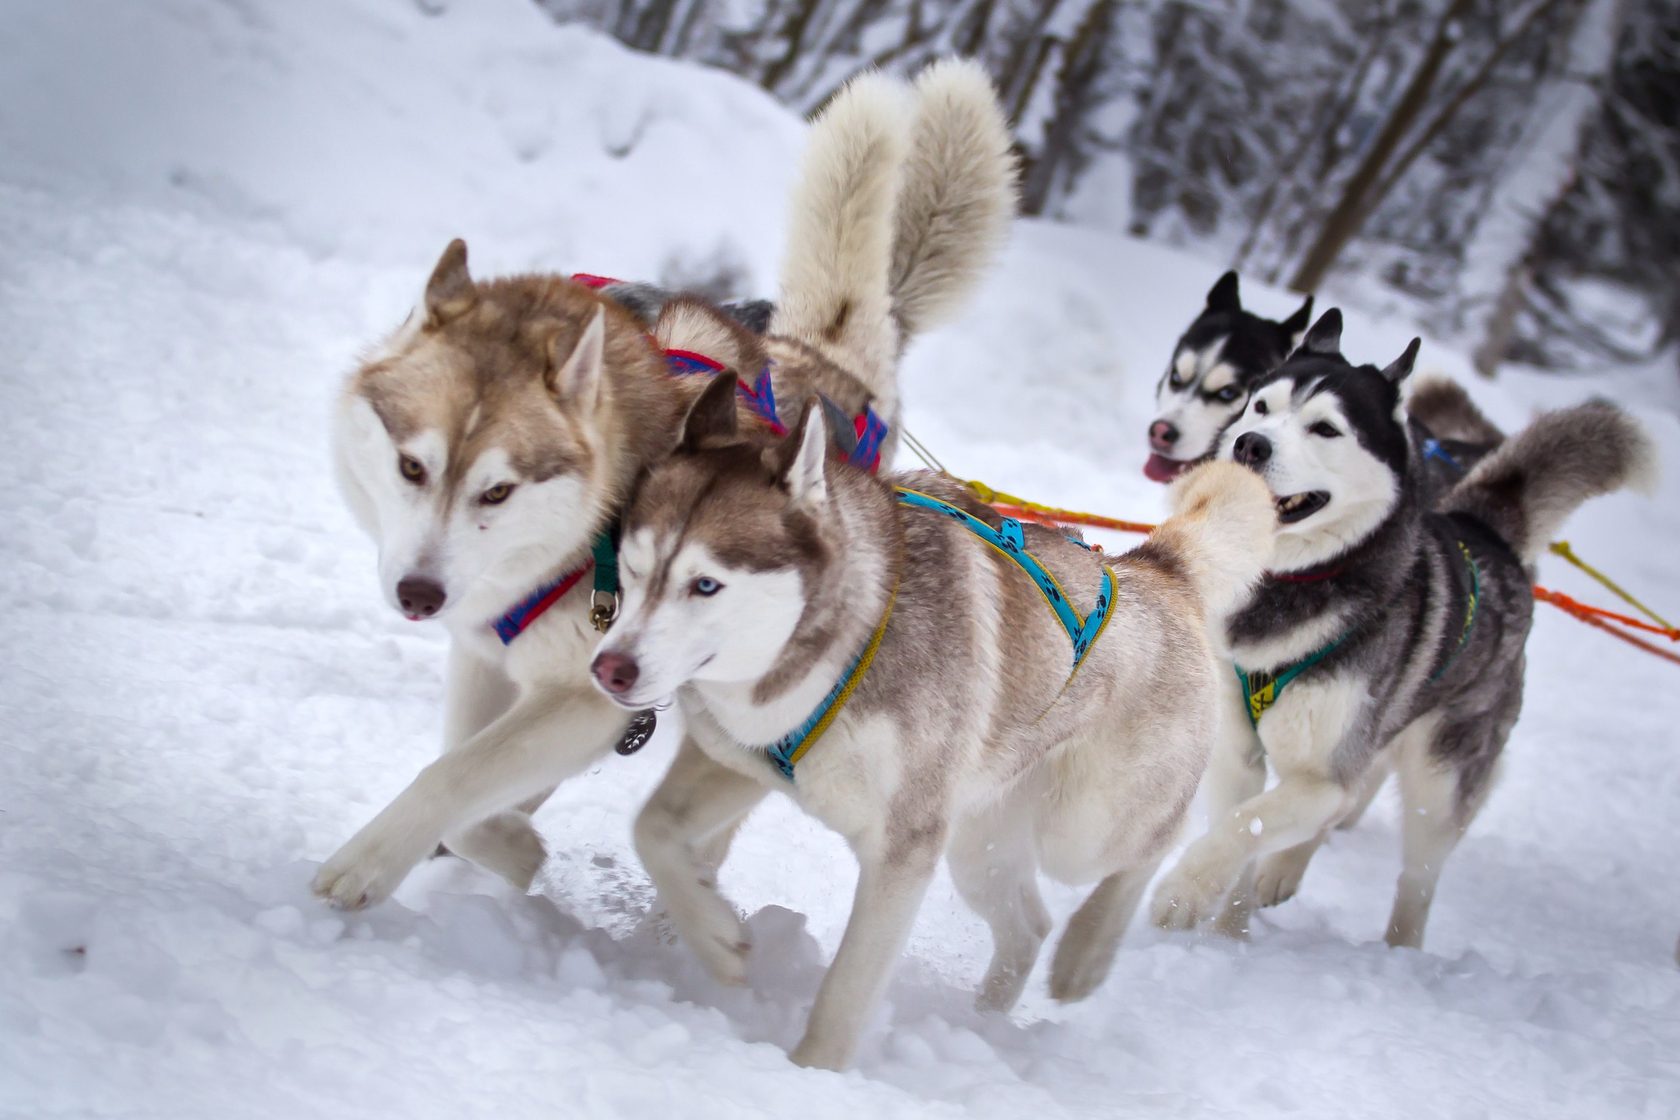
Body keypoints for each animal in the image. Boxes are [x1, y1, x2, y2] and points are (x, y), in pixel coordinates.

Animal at [315, 61, 1021, 913]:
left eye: (498, 491)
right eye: (411, 466)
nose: (420, 595)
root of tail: (831, 357)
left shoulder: (586, 699)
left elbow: (455, 778)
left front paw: (378, 863)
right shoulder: (486, 660)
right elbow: (460, 769)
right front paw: (478, 846)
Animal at [591, 369, 1270, 1067]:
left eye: (705, 585)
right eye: (634, 569)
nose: (610, 668)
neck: (845, 647)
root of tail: (1154, 568)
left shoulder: (904, 847)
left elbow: (847, 990)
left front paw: (813, 1071)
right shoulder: (737, 765)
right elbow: (653, 830)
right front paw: (716, 935)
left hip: (1084, 825)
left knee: (1165, 838)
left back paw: (1089, 952)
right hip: (980, 844)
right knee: (1029, 924)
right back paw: (985, 1021)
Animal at [1155, 310, 1653, 953]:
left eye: (1325, 428)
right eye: (1260, 406)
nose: (1249, 443)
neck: (1293, 583)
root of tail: (1485, 531)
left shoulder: (1326, 777)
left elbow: (1248, 824)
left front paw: (1183, 890)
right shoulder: (1238, 755)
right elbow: (1247, 826)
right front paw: (1228, 932)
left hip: (1439, 781)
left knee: (1418, 877)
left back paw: (1401, 953)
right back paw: (1284, 873)